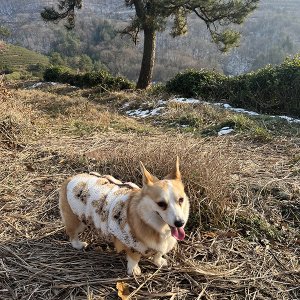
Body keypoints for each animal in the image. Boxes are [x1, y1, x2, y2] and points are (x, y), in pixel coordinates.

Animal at [59, 158, 190, 276]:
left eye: (181, 200)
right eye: (161, 204)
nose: (180, 223)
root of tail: (71, 178)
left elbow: (157, 255)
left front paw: (159, 262)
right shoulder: (132, 244)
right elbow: (134, 258)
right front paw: (134, 270)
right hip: (76, 221)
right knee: (72, 234)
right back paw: (79, 245)